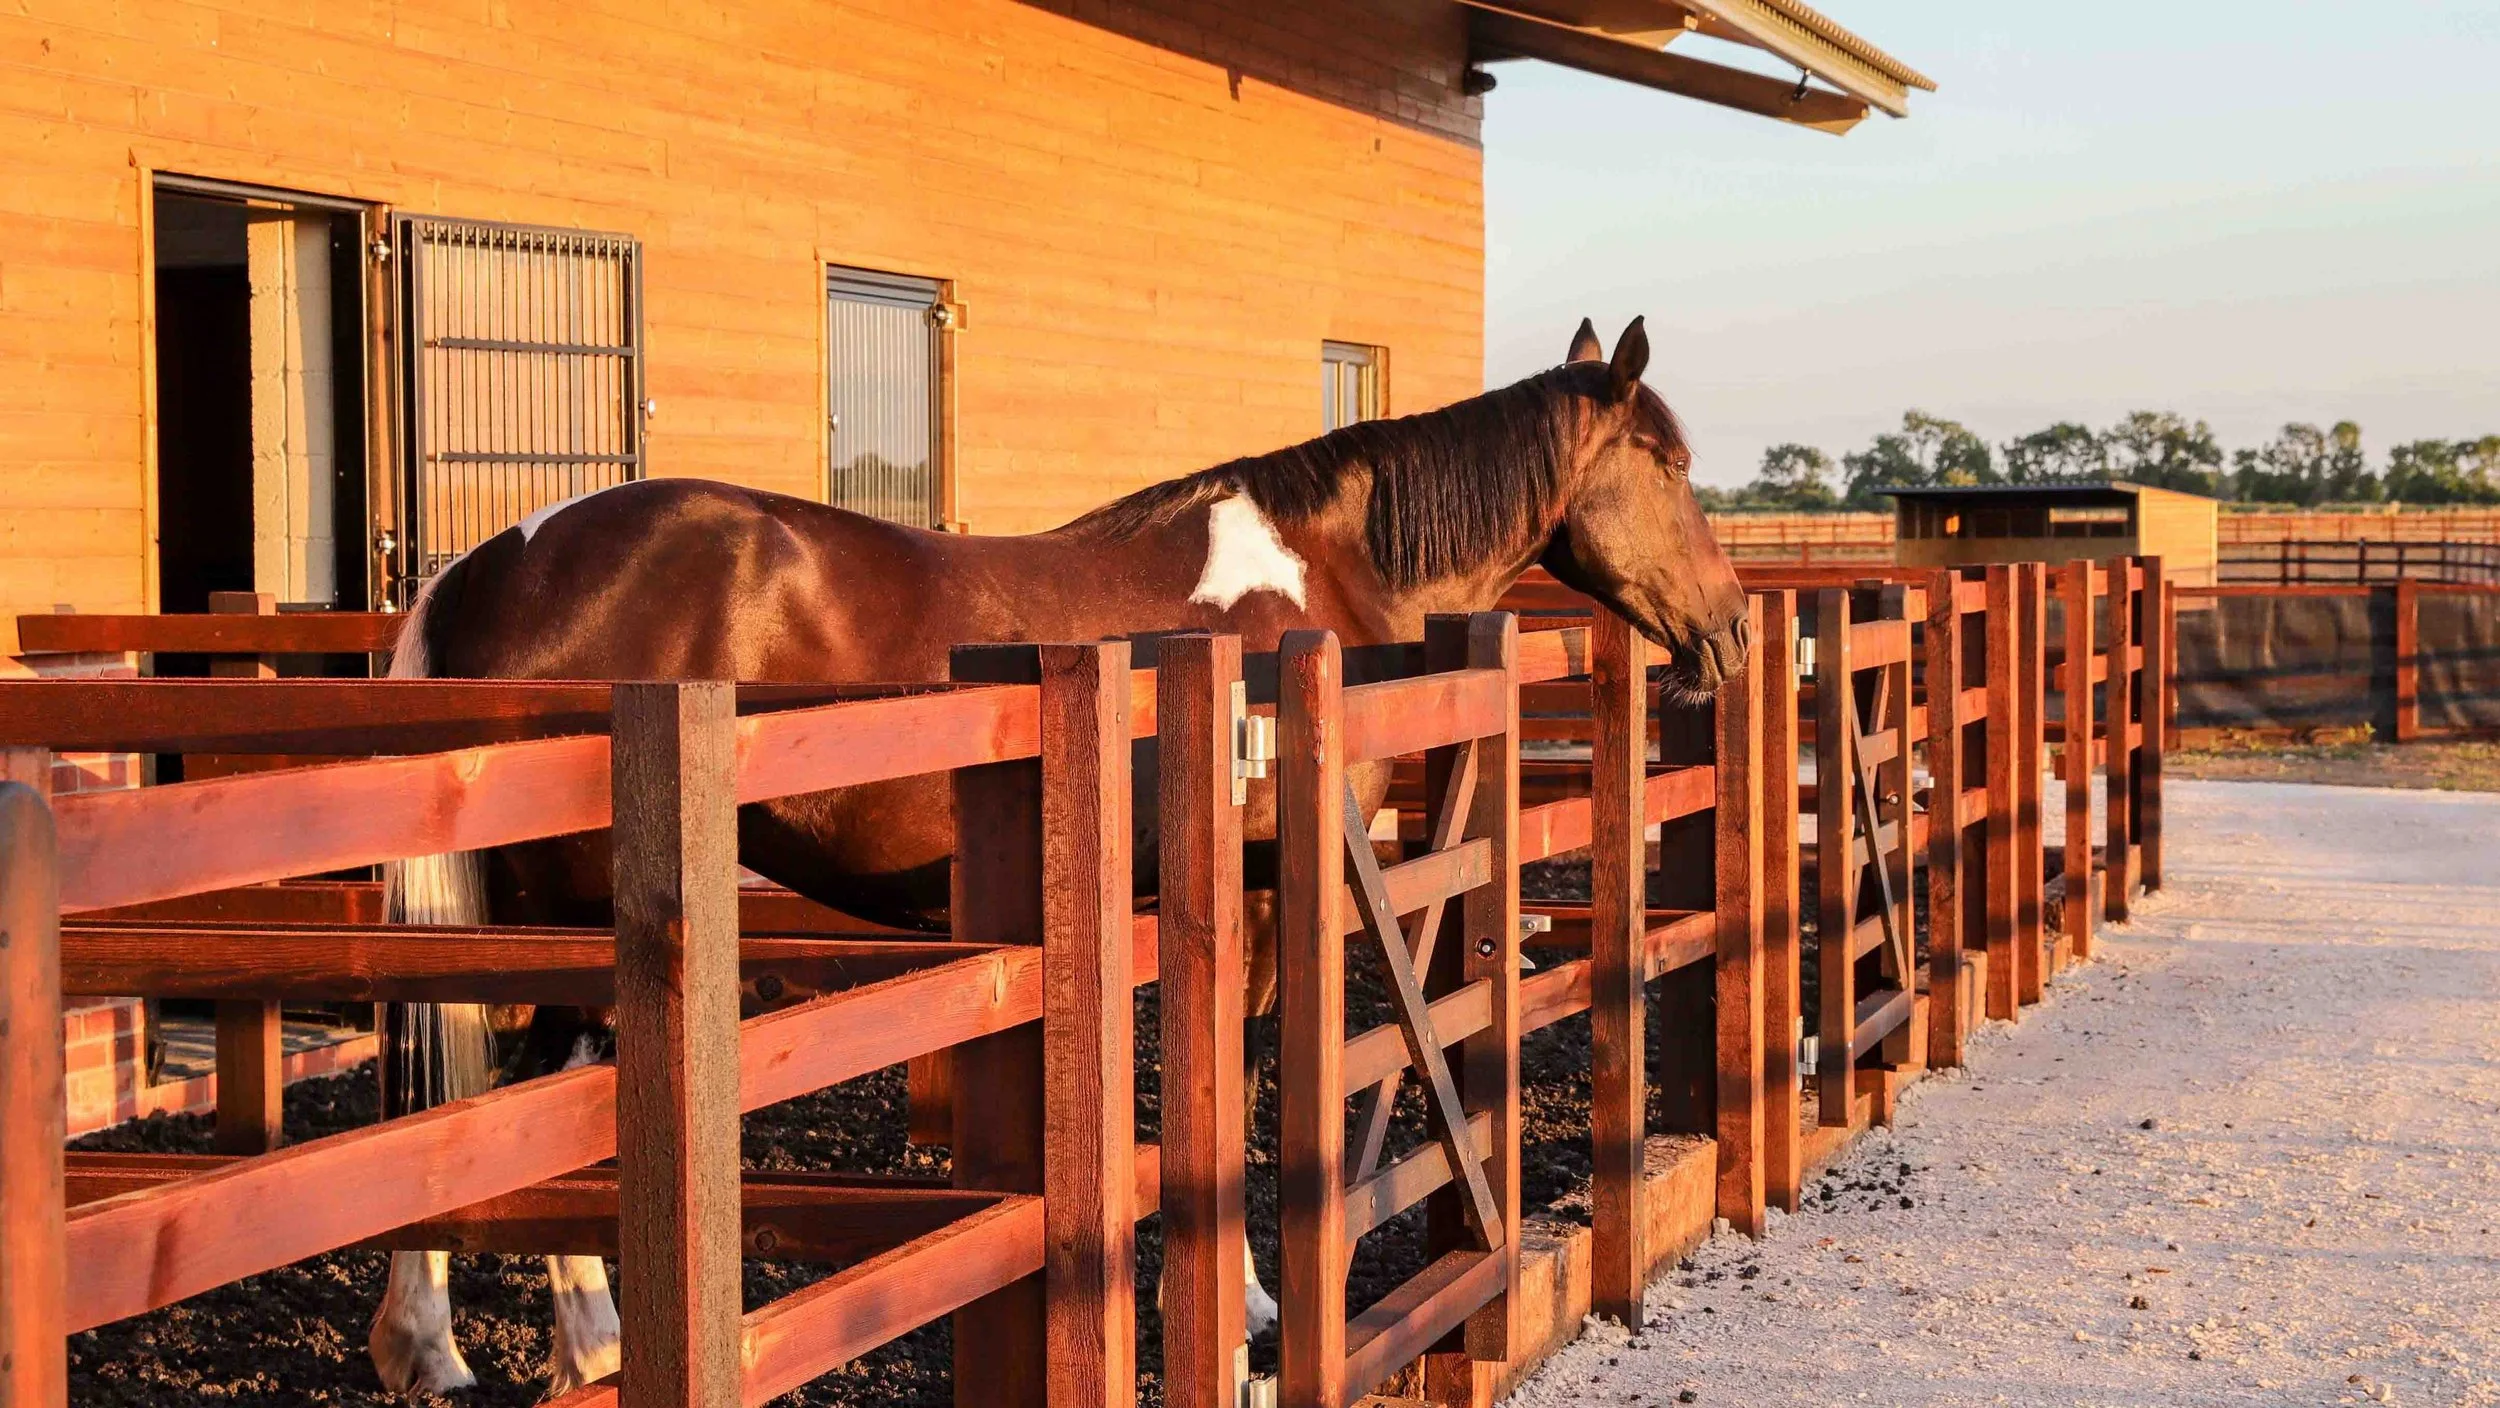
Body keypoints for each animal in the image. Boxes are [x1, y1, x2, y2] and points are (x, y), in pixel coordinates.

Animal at [364, 317, 1748, 1396]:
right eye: (1672, 462)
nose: (1731, 632)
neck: (1313, 581)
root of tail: (491, 560)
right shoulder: (1263, 893)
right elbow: (1245, 1078)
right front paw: (1251, 1307)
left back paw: (437, 1348)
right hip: (572, 926)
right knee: (523, 1110)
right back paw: (571, 1343)